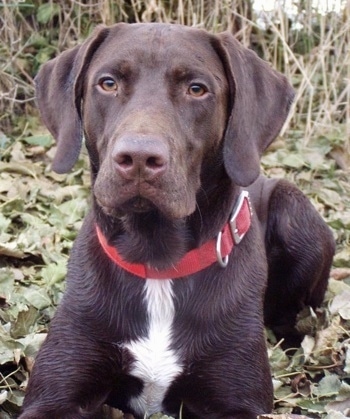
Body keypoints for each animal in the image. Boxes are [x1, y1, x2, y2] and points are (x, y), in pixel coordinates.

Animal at [18, 23, 334, 419]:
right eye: (108, 83)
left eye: (196, 89)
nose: (138, 158)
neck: (157, 259)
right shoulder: (55, 392)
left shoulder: (238, 398)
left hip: (295, 213)